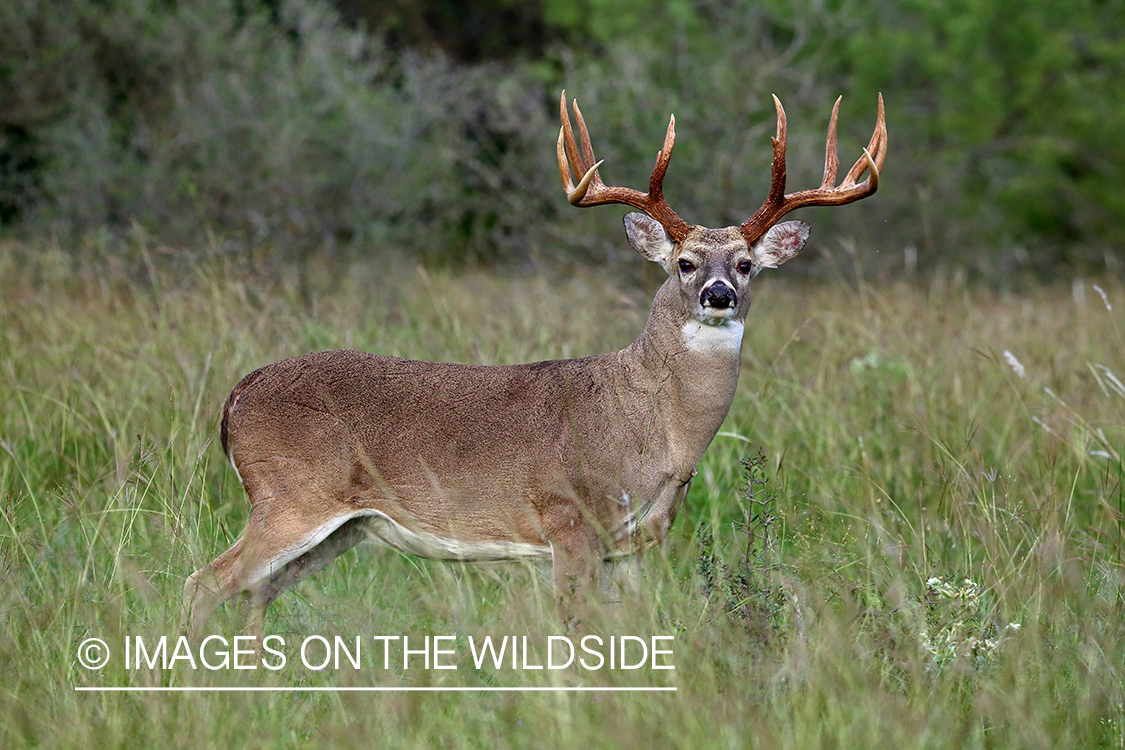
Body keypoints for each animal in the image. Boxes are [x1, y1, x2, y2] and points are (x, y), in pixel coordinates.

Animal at [182, 88, 886, 638]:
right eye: (684, 263)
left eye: (745, 264)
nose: (720, 294)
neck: (655, 429)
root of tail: (236, 396)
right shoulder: (566, 517)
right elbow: (575, 629)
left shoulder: (636, 544)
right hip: (292, 495)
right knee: (205, 583)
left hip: (340, 526)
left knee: (253, 593)